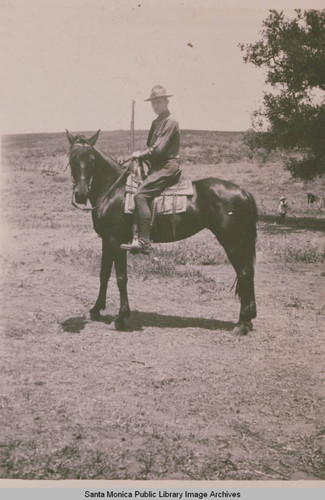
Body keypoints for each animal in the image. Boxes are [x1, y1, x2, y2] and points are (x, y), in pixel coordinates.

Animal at [66, 129, 256, 336]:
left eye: (91, 159)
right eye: (72, 158)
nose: (81, 194)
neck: (114, 191)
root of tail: (244, 192)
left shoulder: (117, 241)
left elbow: (121, 278)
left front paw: (122, 317)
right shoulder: (107, 241)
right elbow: (104, 274)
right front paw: (95, 310)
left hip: (231, 242)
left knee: (244, 273)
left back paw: (242, 323)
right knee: (249, 273)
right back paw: (248, 319)